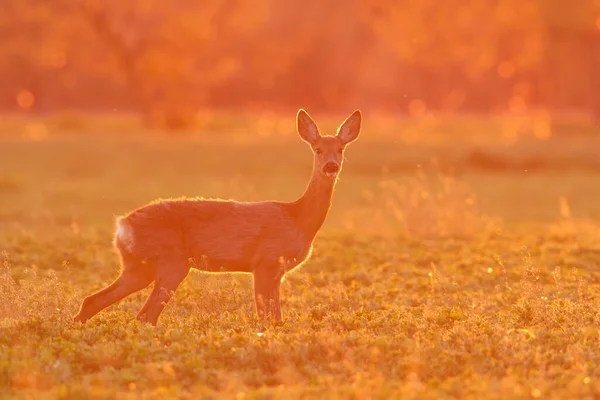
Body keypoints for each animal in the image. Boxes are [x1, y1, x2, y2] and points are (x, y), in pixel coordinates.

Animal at [71, 108, 360, 324]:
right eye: (317, 149)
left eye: (341, 149)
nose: (330, 166)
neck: (298, 218)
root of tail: (122, 226)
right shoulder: (265, 263)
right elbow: (267, 319)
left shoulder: (276, 271)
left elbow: (276, 319)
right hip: (171, 262)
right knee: (145, 315)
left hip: (138, 266)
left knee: (93, 301)